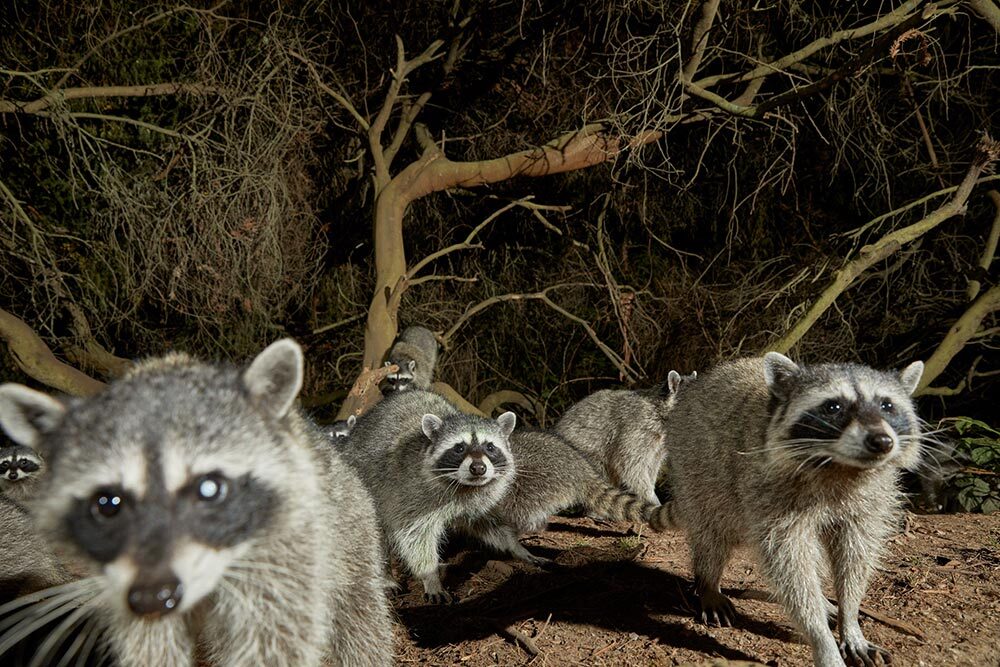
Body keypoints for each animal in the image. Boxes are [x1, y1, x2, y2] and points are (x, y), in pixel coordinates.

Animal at [0, 342, 394, 664]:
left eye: (209, 489)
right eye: (107, 503)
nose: (153, 597)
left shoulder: (287, 549)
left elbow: (276, 637)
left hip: (351, 534)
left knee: (362, 620)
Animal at [342, 392, 516, 604]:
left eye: (490, 447)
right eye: (459, 448)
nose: (478, 468)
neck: (464, 487)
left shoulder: (481, 499)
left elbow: (487, 522)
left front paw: (517, 547)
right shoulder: (410, 494)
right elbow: (415, 535)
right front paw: (430, 576)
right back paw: (384, 577)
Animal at [652, 352, 924, 667]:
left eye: (886, 405)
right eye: (833, 407)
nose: (881, 441)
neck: (841, 467)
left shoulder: (869, 499)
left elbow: (855, 556)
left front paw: (850, 616)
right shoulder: (771, 492)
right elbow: (791, 566)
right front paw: (821, 638)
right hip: (695, 466)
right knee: (711, 531)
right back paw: (708, 581)